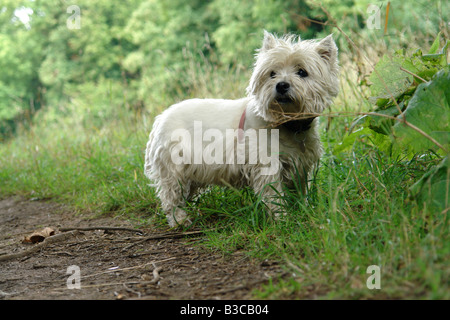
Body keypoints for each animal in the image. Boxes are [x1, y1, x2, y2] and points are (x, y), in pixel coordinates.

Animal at [146, 29, 340, 225]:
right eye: (272, 74)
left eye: (302, 72)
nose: (282, 85)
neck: (288, 124)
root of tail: (161, 118)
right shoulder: (266, 164)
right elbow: (274, 195)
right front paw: (282, 219)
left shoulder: (301, 163)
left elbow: (300, 191)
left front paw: (303, 211)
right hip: (174, 166)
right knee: (171, 196)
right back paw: (180, 220)